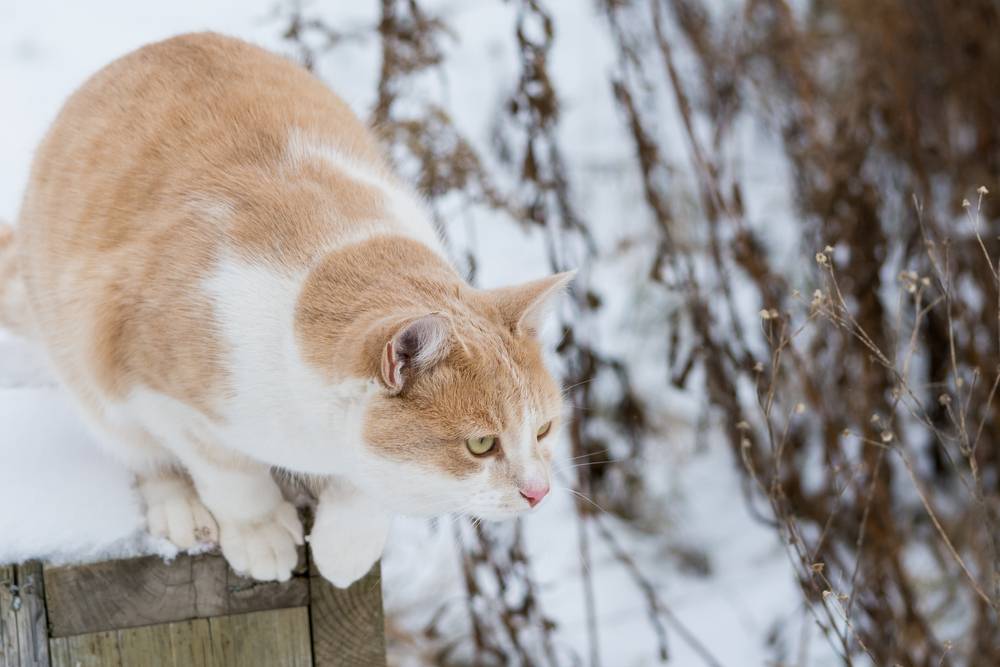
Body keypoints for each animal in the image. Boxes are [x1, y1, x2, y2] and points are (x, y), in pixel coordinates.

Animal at [0, 34, 572, 588]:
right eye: (481, 444)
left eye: (543, 430)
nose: (538, 492)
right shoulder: (154, 388)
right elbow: (225, 469)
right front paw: (258, 531)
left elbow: (362, 490)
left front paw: (344, 547)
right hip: (82, 362)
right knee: (137, 449)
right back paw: (180, 507)